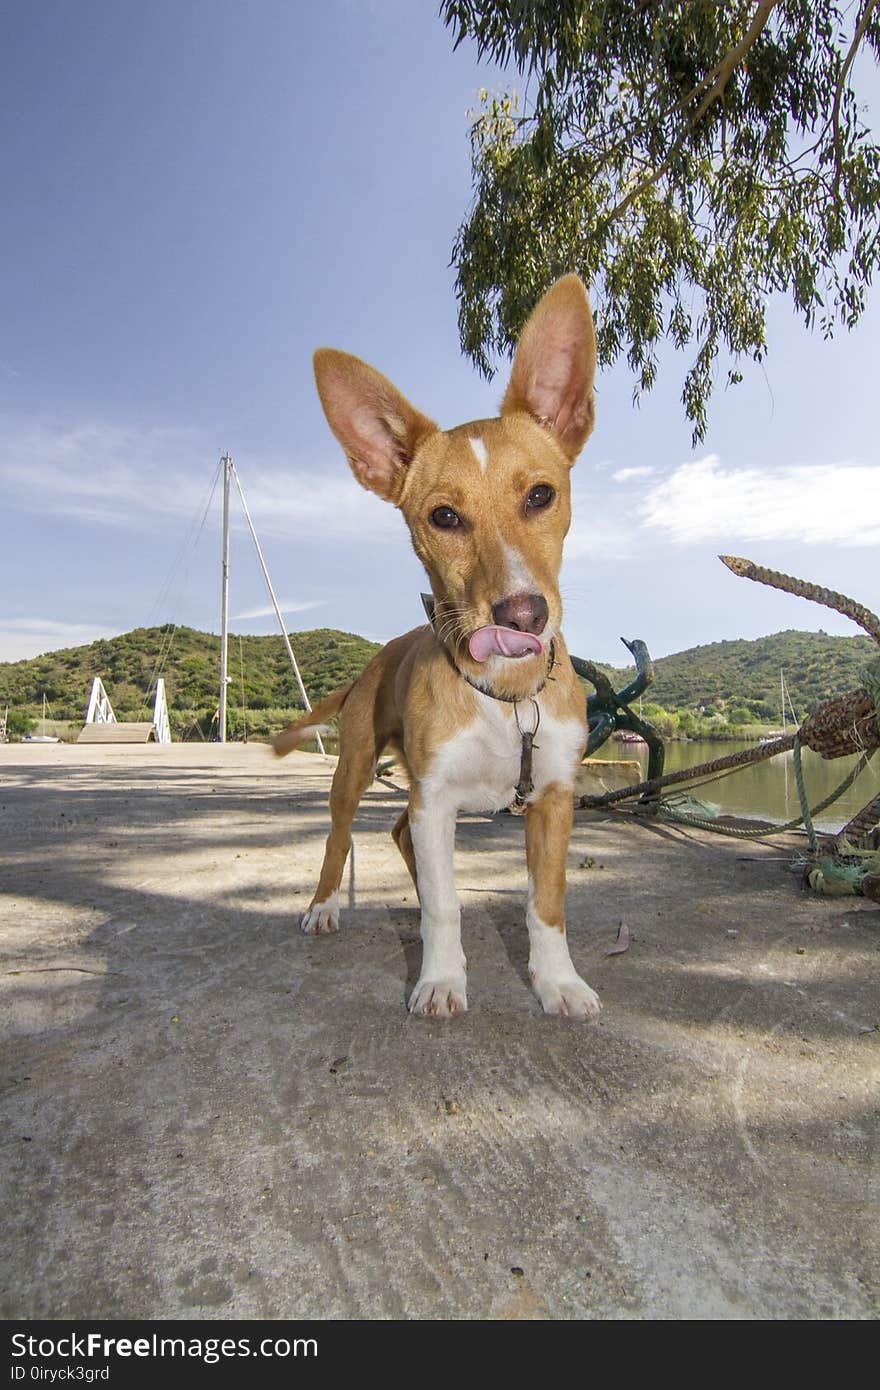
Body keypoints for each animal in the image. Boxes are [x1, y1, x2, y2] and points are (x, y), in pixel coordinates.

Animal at [275, 276, 600, 1023]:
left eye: (542, 495)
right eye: (444, 517)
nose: (522, 615)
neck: (506, 698)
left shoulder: (553, 799)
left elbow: (546, 906)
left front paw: (557, 981)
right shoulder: (437, 799)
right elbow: (448, 908)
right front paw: (443, 980)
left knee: (400, 836)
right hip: (354, 772)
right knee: (341, 839)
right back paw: (326, 907)